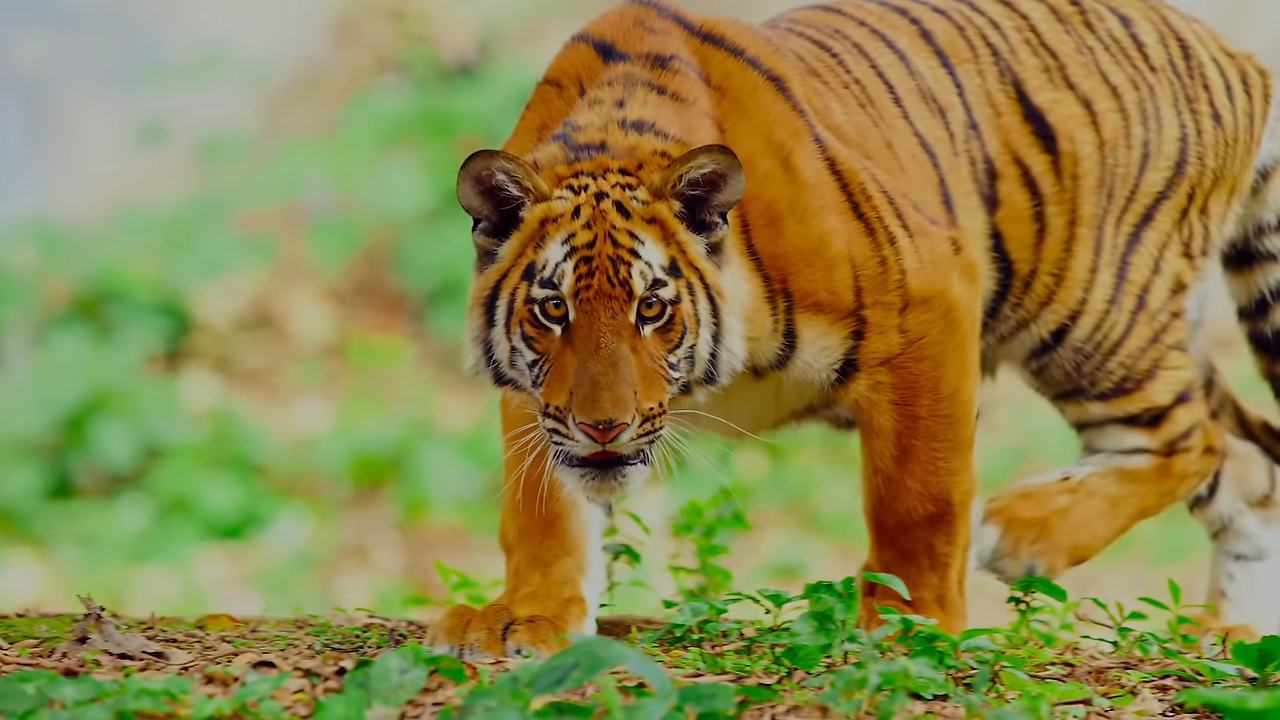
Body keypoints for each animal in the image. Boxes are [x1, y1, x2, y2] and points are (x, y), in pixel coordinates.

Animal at [425, 0, 1280, 659]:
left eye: (653, 309)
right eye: (553, 309)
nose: (604, 428)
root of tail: (1231, 53)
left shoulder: (928, 304)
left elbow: (918, 498)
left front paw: (912, 630)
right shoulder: (535, 394)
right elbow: (541, 509)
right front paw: (524, 618)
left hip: (1091, 313)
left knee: (1194, 440)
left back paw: (1024, 532)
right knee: (1249, 459)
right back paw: (1231, 635)